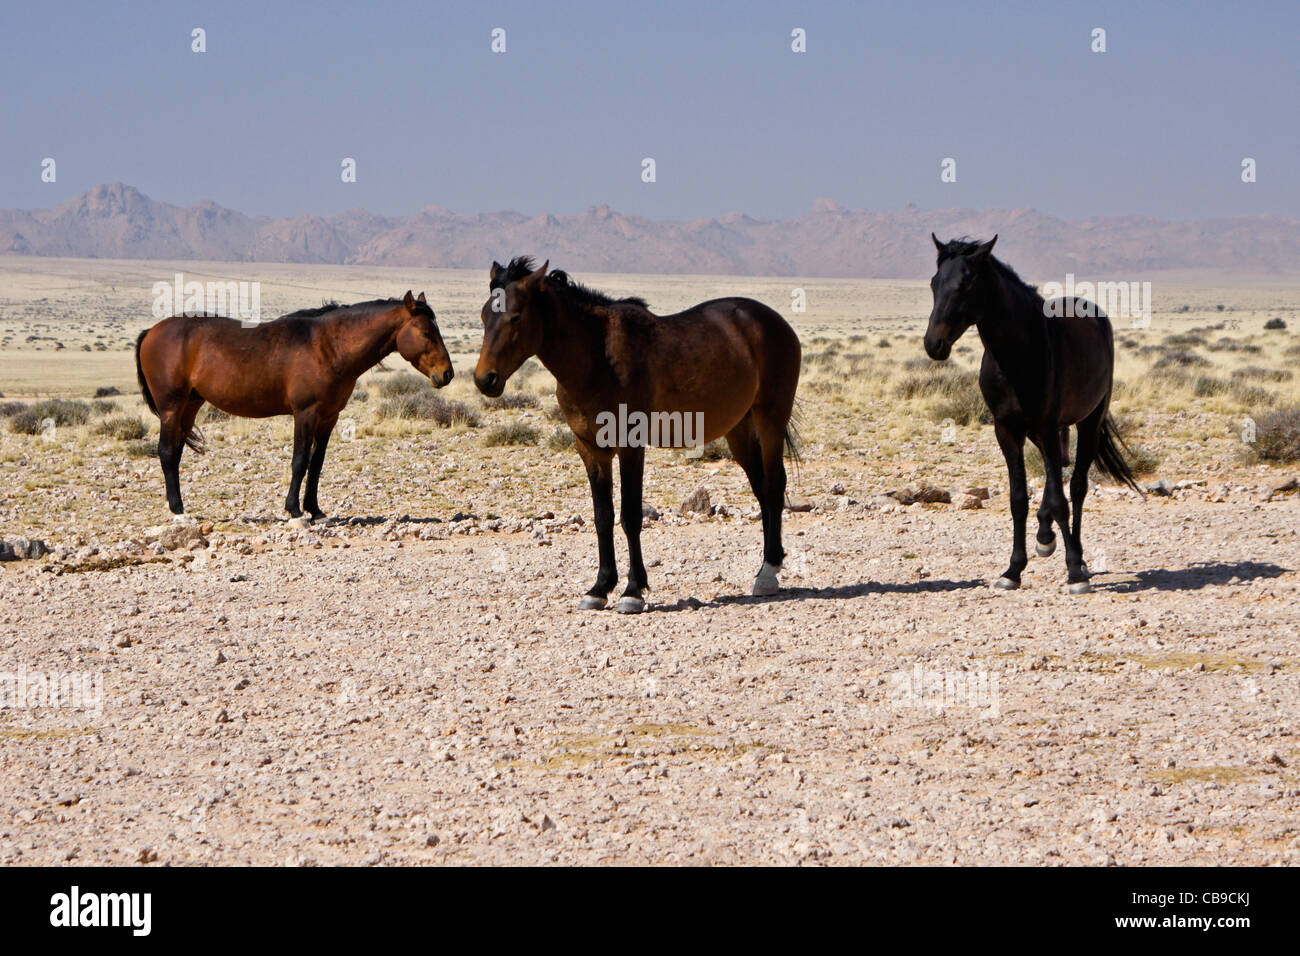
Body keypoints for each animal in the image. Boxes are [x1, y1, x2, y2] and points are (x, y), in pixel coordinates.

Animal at [135, 291, 453, 521]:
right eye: (426, 332)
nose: (446, 373)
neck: (328, 347)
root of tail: (152, 330)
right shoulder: (306, 414)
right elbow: (299, 461)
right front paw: (295, 510)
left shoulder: (329, 417)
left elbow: (316, 463)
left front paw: (316, 510)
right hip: (172, 408)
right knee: (166, 453)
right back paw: (178, 511)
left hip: (190, 406)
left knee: (175, 453)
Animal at [474, 257, 801, 613]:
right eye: (484, 315)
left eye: (515, 316)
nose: (485, 379)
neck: (597, 357)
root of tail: (776, 322)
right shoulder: (591, 448)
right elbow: (603, 516)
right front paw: (600, 587)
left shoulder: (630, 445)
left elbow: (630, 516)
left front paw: (632, 590)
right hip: (739, 429)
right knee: (762, 488)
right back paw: (769, 566)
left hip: (770, 419)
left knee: (774, 485)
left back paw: (767, 573)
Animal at [923, 235, 1143, 594]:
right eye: (934, 282)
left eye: (966, 283)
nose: (934, 344)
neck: (1017, 354)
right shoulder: (1007, 430)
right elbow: (1018, 499)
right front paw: (1013, 569)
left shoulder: (1046, 424)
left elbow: (1061, 499)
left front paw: (1074, 571)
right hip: (1042, 432)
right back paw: (1046, 537)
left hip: (1088, 423)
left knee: (1076, 487)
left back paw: (1077, 556)